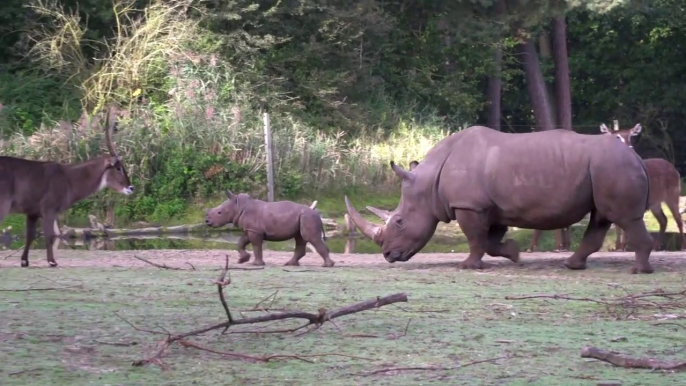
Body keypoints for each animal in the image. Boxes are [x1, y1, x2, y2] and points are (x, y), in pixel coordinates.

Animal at [0, 107, 134, 266]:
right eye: (118, 168)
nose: (130, 188)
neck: (68, 178)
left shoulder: (32, 213)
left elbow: (30, 235)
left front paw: (24, 261)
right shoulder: (49, 210)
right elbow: (50, 235)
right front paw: (52, 262)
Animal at [600, 122, 684, 252]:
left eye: (630, 136)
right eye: (617, 137)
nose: (629, 147)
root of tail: (674, 169)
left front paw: (622, 247)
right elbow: (617, 226)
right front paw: (617, 247)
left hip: (673, 194)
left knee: (678, 218)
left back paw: (682, 248)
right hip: (655, 202)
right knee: (664, 220)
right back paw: (655, 247)